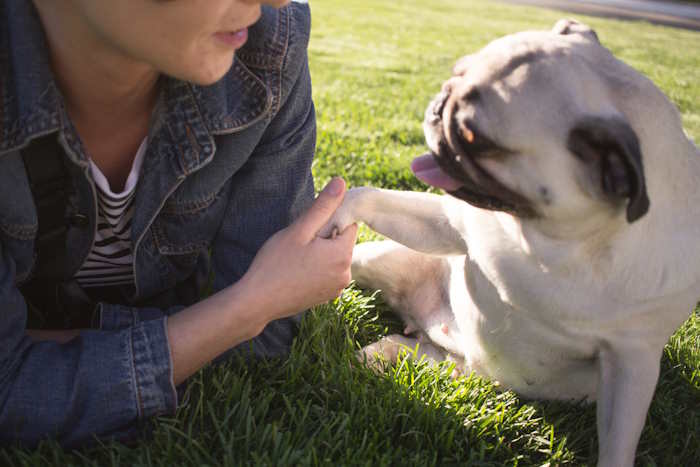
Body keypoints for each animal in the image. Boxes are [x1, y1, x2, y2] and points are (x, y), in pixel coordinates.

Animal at [322, 19, 700, 467]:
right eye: (455, 73)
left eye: (477, 139)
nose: (439, 107)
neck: (553, 242)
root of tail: (430, 332)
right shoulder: (452, 226)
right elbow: (368, 197)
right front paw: (338, 212)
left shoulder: (632, 362)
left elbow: (619, 443)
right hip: (379, 258)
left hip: (447, 364)